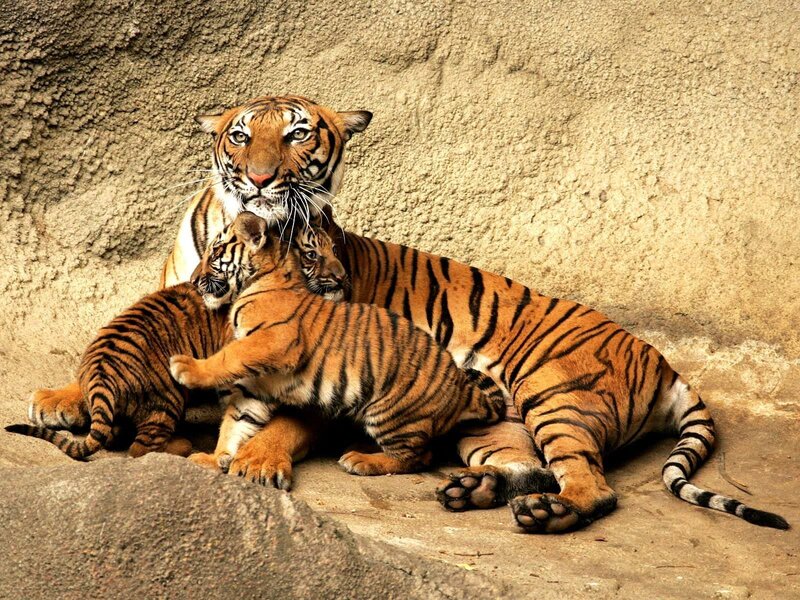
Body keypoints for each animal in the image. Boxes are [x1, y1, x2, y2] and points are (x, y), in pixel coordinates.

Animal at [169, 212, 506, 478]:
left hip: (390, 412)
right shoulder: (258, 383)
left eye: (215, 251)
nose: (194, 279)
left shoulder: (273, 341)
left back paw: (361, 461)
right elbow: (236, 422)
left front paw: (185, 367)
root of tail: (463, 390)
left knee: (419, 456)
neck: (262, 280)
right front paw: (214, 458)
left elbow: (229, 356)